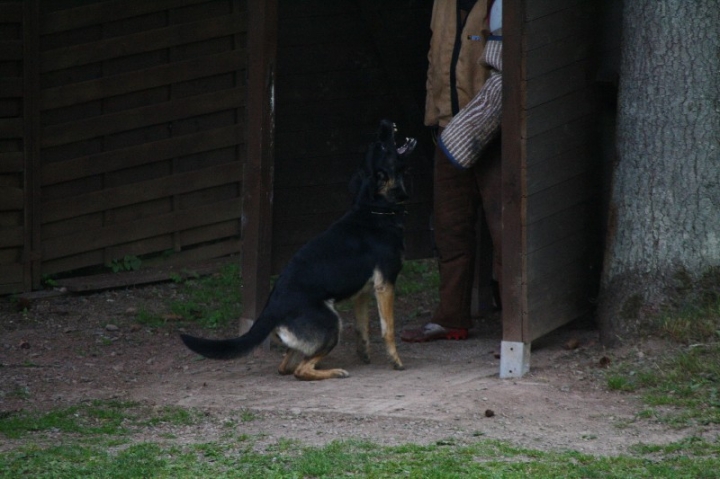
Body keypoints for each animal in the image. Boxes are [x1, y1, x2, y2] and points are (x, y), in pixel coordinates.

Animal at [180, 121, 416, 382]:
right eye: (382, 146)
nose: (385, 123)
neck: (374, 207)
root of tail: (270, 309)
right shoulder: (385, 284)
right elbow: (388, 329)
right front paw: (395, 360)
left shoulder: (363, 292)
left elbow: (362, 328)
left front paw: (364, 354)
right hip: (331, 322)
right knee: (300, 371)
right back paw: (334, 371)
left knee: (286, 366)